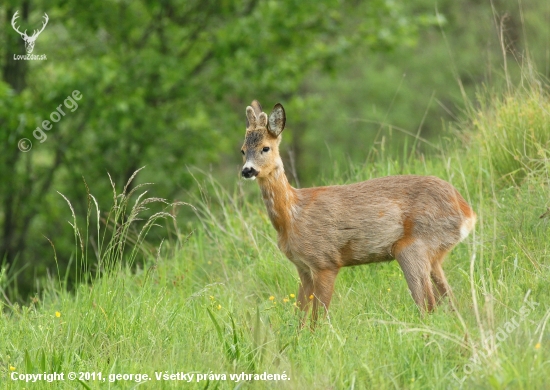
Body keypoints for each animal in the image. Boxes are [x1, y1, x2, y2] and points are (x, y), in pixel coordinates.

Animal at [242, 100, 478, 322]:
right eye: (243, 150)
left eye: (265, 148)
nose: (247, 170)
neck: (291, 216)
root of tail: (468, 212)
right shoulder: (303, 268)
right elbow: (299, 318)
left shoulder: (325, 260)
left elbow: (317, 320)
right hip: (434, 255)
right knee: (449, 299)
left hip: (413, 247)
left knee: (428, 305)